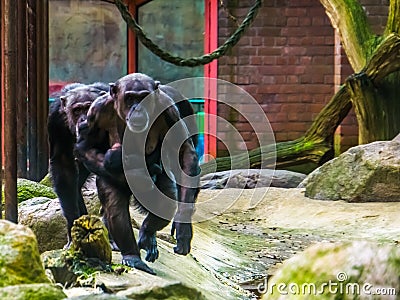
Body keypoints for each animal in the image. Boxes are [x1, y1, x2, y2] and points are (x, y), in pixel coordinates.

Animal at [48, 82, 111, 248]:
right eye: (76, 111)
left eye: (88, 108)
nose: (83, 120)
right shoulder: (55, 120)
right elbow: (63, 163)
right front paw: (72, 227)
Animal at [74, 72, 199, 274]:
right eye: (130, 98)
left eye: (143, 97)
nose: (137, 108)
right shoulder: (95, 111)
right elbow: (84, 146)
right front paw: (119, 162)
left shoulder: (169, 109)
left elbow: (185, 152)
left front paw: (183, 229)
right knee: (115, 208)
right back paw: (132, 256)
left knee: (165, 200)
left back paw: (147, 236)